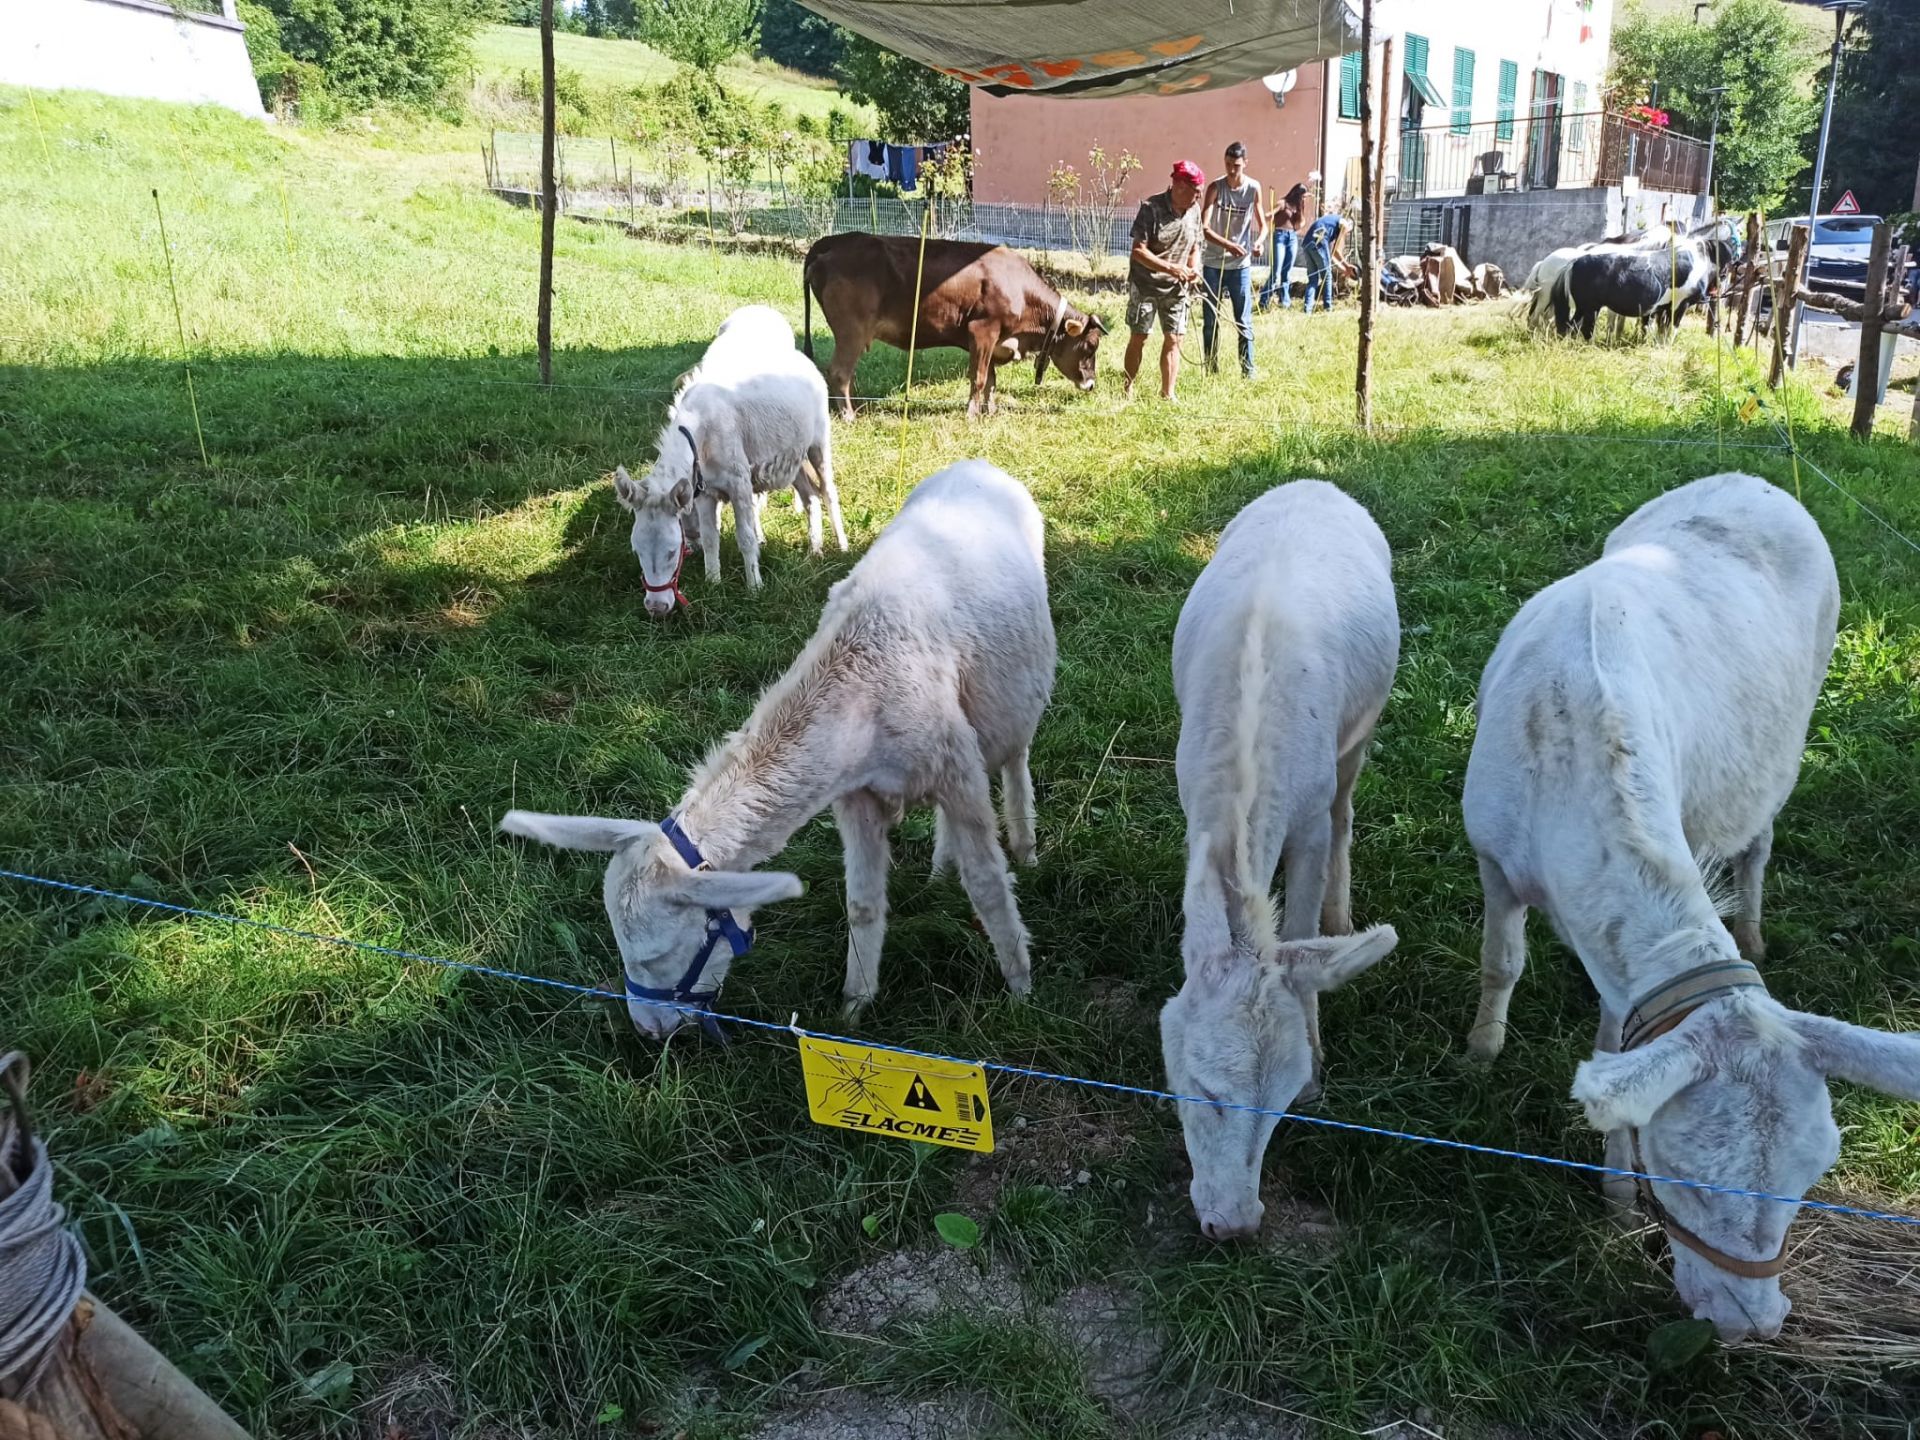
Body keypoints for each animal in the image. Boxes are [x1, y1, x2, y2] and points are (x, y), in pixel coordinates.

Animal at [503, 462, 1059, 1036]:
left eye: (660, 955)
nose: (648, 1029)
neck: (862, 702)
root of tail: (977, 465)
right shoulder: (859, 794)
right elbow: (862, 903)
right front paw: (853, 1008)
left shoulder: (955, 770)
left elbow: (988, 886)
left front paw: (1020, 993)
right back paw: (938, 870)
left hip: (1014, 696)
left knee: (1015, 760)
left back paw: (1025, 847)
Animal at [618, 301, 844, 618]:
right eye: (636, 550)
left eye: (672, 551)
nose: (657, 607)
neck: (701, 430)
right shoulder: (704, 492)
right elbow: (711, 538)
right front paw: (713, 582)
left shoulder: (739, 484)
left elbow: (745, 537)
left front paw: (755, 587)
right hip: (790, 457)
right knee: (810, 496)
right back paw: (815, 549)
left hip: (818, 442)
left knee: (828, 491)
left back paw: (842, 546)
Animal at [798, 231, 1113, 420]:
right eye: (1090, 346)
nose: (1091, 384)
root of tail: (834, 241)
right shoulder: (983, 331)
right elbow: (980, 378)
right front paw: (971, 415)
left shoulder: (995, 341)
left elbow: (992, 381)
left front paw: (990, 411)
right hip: (851, 330)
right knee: (839, 372)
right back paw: (849, 415)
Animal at [1159, 481, 1405, 1244]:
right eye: (1206, 1092)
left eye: (1285, 1101)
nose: (1235, 1227)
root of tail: (1316, 484)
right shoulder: (1193, 806)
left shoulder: (1308, 821)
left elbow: (1297, 929)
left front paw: (1322, 1057)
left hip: (1361, 732)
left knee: (1348, 808)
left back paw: (1343, 917)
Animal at [1459, 480, 1912, 1351]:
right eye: (1691, 1182)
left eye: (1812, 1177)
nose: (1753, 1322)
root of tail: (1753, 479)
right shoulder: (1491, 854)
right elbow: (1502, 962)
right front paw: (1480, 1053)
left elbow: (1612, 1041)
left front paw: (1613, 1192)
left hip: (1791, 730)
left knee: (1759, 841)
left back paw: (1755, 930)